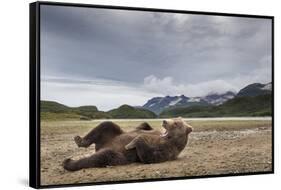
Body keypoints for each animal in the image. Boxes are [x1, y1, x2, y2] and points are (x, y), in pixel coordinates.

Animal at [62, 116, 191, 171]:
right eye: (173, 119)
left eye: (176, 123)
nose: (164, 121)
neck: (168, 139)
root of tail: (100, 147)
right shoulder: (155, 132)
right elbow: (144, 126)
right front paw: (143, 127)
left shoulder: (168, 150)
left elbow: (149, 156)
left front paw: (131, 143)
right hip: (110, 135)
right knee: (107, 124)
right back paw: (79, 140)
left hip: (118, 155)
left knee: (104, 155)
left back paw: (68, 162)